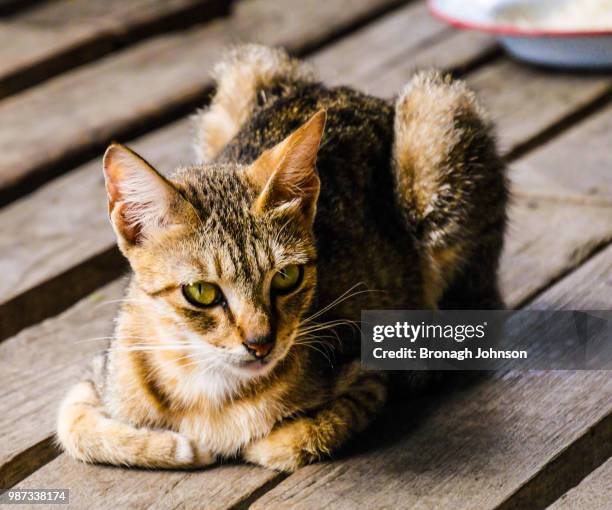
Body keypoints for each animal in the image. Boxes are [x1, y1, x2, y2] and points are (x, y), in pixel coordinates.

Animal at [57, 45, 506, 472]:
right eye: (201, 292)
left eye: (287, 277)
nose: (261, 343)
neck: (207, 386)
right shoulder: (96, 379)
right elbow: (73, 424)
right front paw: (178, 445)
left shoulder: (369, 373)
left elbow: (300, 437)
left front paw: (245, 440)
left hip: (436, 109)